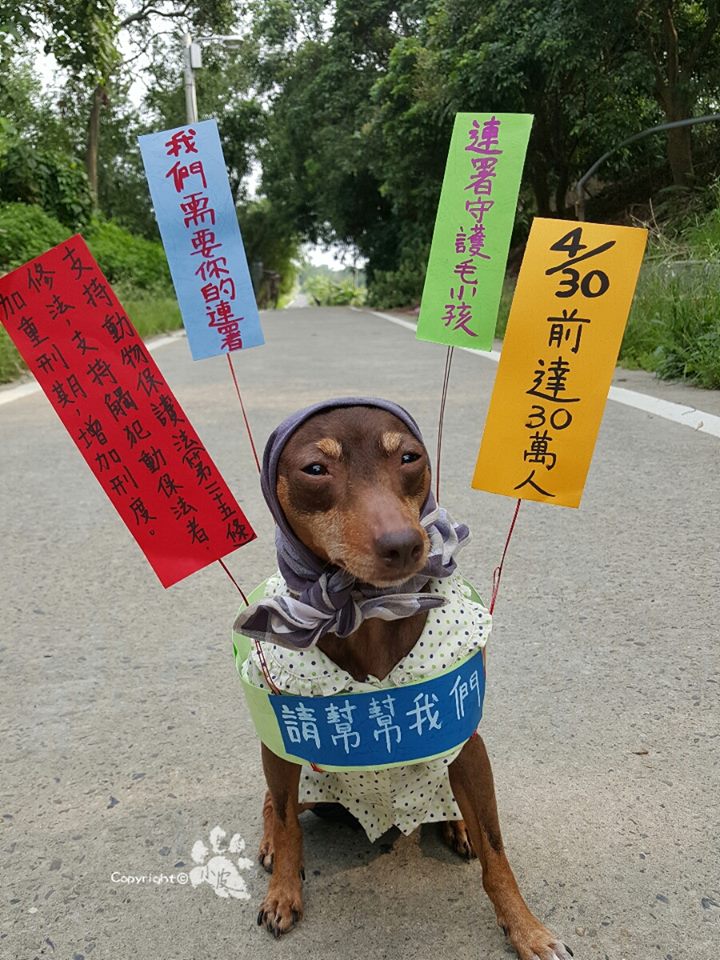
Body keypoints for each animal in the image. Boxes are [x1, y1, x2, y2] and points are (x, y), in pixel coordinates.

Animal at [250, 404, 572, 960]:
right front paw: (283, 892)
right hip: (305, 776)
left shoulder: (467, 743)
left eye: (410, 457)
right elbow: (289, 823)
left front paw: (526, 928)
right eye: (315, 469)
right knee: (276, 802)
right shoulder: (285, 737)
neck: (368, 611)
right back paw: (271, 844)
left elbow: (496, 850)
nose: (404, 545)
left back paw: (456, 824)